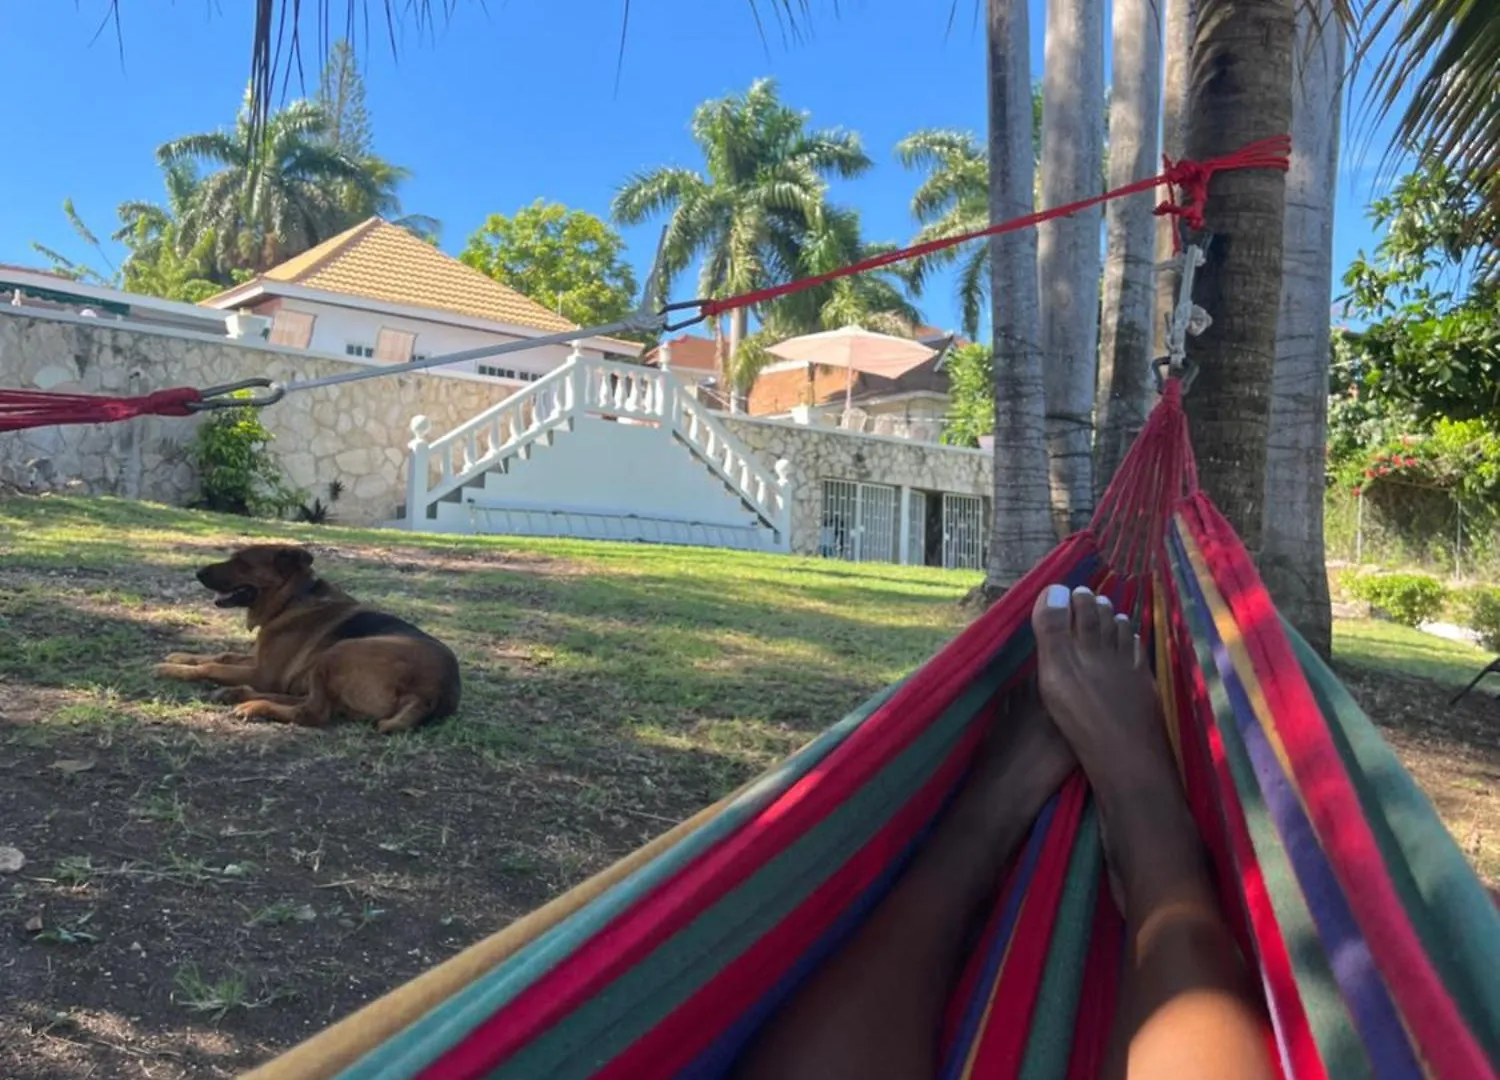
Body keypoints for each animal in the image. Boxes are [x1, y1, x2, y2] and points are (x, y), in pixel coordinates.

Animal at [153, 549, 459, 735]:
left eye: (243, 562)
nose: (198, 573)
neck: (291, 598)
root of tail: (434, 692)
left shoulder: (263, 673)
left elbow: (212, 667)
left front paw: (173, 669)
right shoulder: (261, 661)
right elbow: (222, 655)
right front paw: (180, 657)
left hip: (338, 651)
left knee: (312, 712)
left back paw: (255, 706)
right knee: (303, 699)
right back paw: (238, 694)